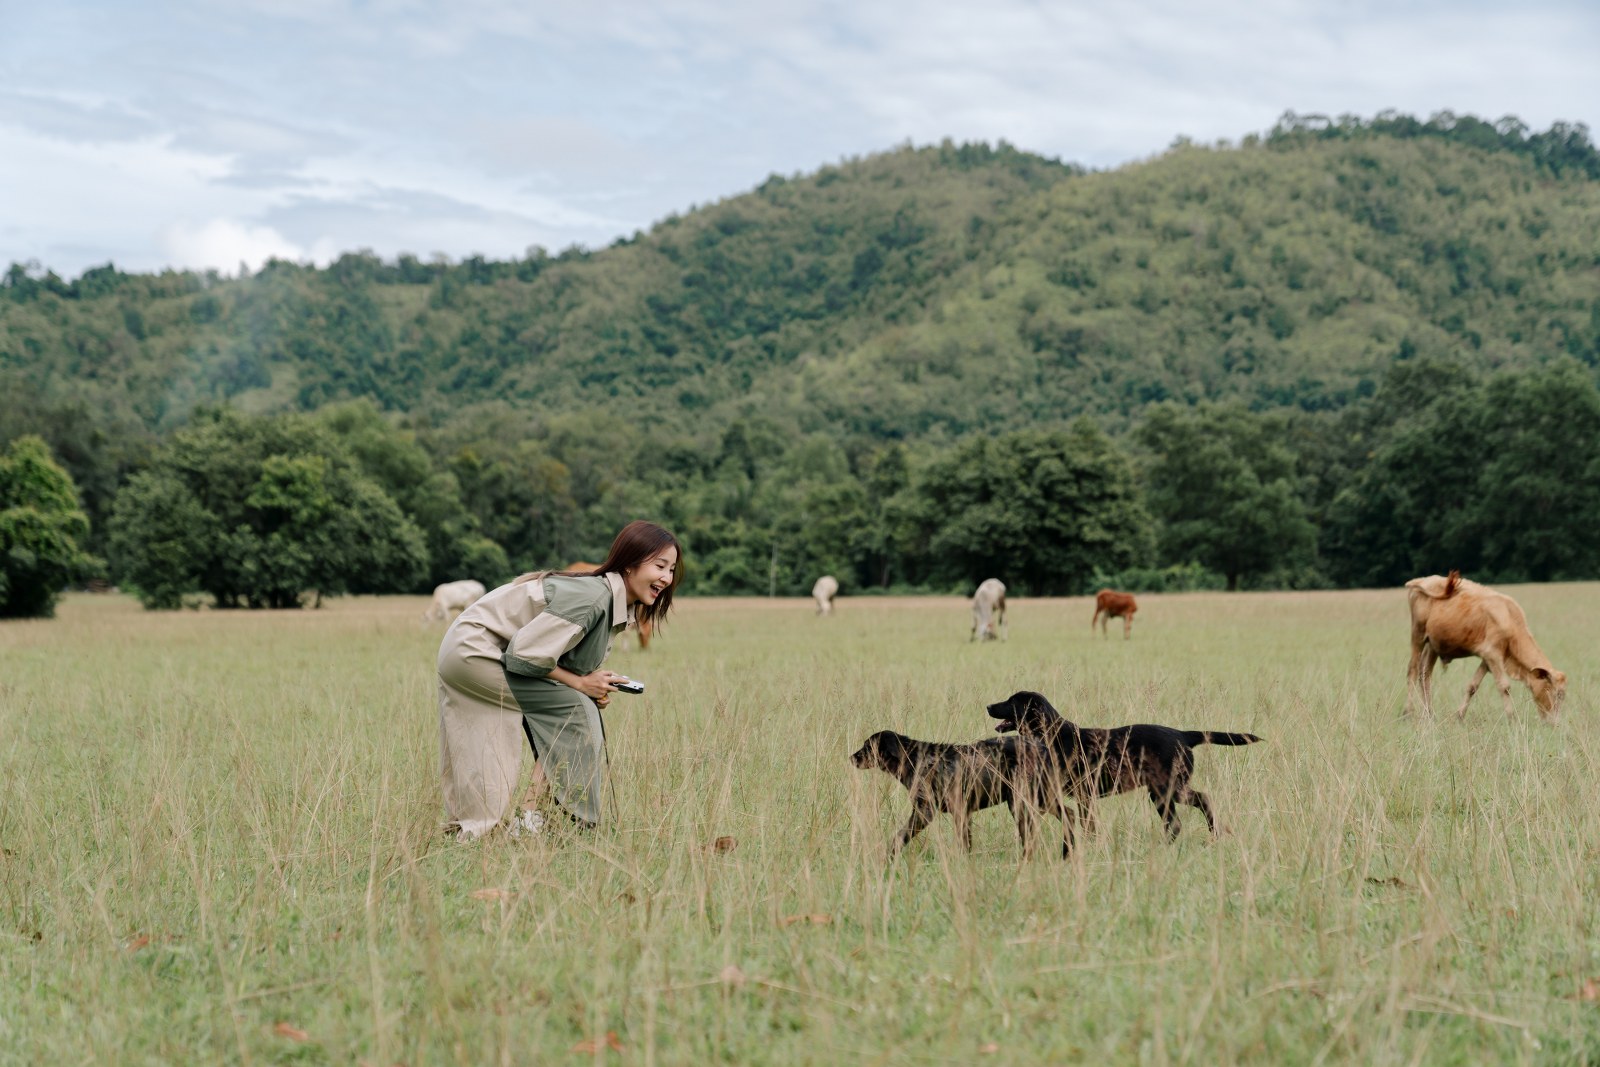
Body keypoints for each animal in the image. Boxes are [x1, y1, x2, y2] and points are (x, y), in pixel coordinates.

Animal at [851, 729, 1075, 863]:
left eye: (867, 747)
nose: (851, 757)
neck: (912, 759)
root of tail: (1044, 747)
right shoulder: (963, 813)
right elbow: (966, 843)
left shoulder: (926, 811)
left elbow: (900, 836)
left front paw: (888, 858)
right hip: (1042, 797)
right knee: (1070, 815)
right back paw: (1067, 853)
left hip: (1021, 801)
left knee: (1032, 837)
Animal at [985, 694, 1260, 844]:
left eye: (1011, 701)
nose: (987, 706)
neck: (1053, 734)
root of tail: (1183, 735)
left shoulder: (1084, 794)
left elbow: (1087, 825)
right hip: (1161, 793)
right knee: (1176, 822)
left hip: (1168, 789)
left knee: (1200, 802)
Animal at [1408, 572, 1568, 723]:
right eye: (1557, 694)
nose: (1555, 723)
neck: (1509, 618)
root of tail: (1422, 579)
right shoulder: (1492, 653)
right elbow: (1504, 686)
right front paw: (1512, 719)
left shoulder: (1488, 658)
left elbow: (1473, 686)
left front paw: (1460, 716)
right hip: (1418, 635)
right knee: (1413, 671)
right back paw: (1407, 713)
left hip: (1432, 644)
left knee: (1425, 674)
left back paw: (1429, 715)